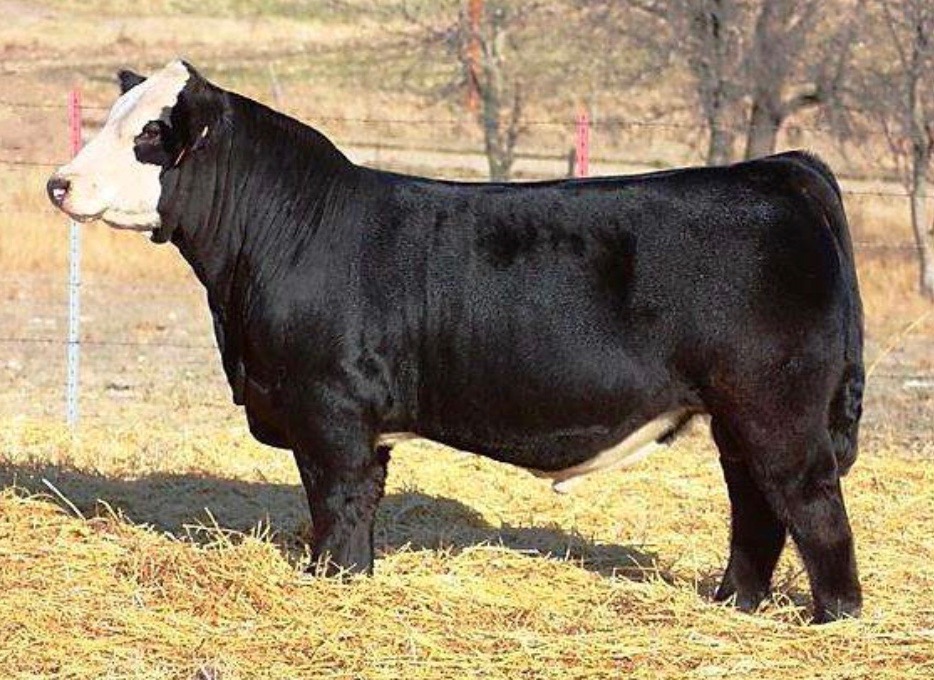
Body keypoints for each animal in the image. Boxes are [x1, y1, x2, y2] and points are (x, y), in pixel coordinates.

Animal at [47, 60, 865, 623]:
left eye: (150, 135)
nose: (58, 183)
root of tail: (776, 171)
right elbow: (346, 504)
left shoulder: (330, 410)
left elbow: (338, 502)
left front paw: (336, 581)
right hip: (738, 417)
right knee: (757, 506)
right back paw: (733, 602)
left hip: (778, 409)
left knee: (810, 503)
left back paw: (832, 619)